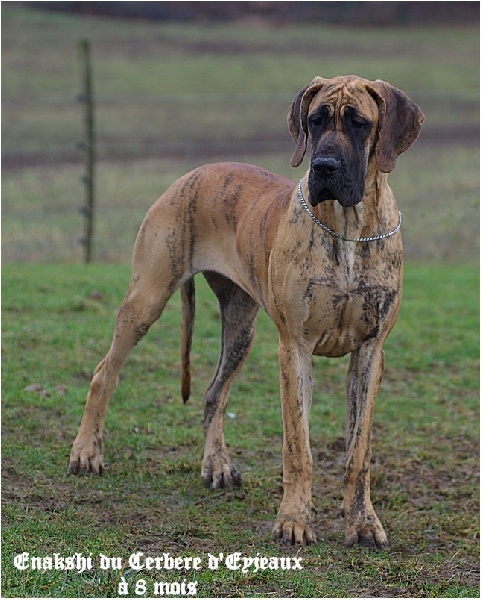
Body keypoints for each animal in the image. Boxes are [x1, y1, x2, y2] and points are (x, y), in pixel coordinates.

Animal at [69, 75, 424, 548]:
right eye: (315, 121)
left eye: (358, 123)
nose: (324, 166)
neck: (349, 229)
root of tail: (193, 173)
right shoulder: (295, 349)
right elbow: (298, 447)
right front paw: (294, 519)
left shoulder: (370, 352)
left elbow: (358, 452)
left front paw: (363, 522)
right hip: (146, 298)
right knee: (104, 373)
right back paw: (86, 452)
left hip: (241, 328)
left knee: (213, 394)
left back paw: (216, 465)